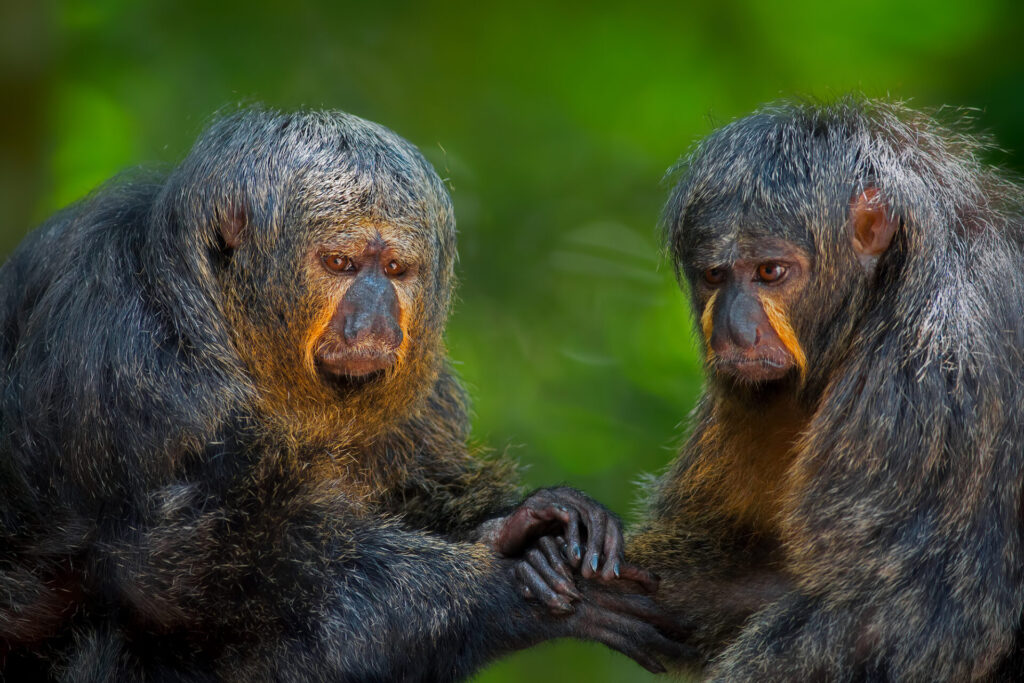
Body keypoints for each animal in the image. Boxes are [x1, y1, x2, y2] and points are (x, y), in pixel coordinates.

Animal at [0, 108, 688, 681]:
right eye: (340, 264)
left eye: (395, 271)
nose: (377, 317)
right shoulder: (124, 350)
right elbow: (184, 569)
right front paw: (503, 590)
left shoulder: (427, 398)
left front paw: (523, 522)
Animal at [624, 97, 1024, 680]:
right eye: (716, 276)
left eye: (770, 272)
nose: (734, 331)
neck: (879, 297)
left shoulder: (938, 368)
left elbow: (899, 617)